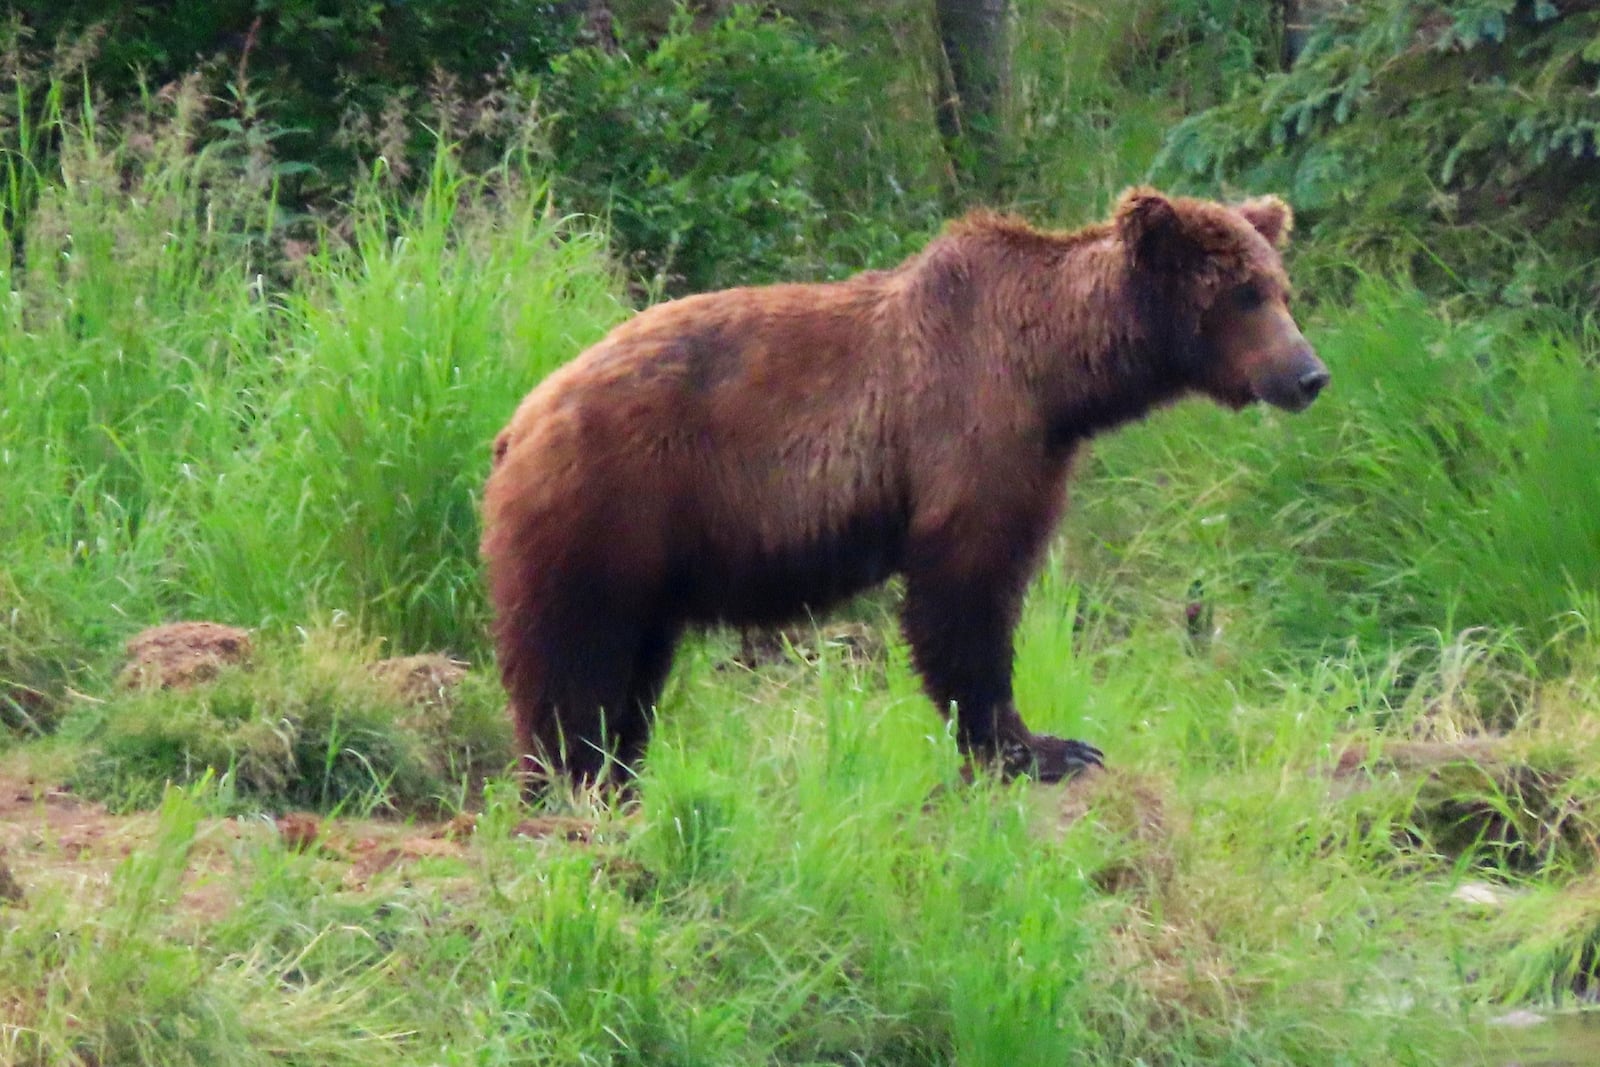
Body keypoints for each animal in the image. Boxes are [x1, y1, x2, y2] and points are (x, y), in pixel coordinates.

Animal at [483, 187, 1324, 790]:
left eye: (1283, 289)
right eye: (1244, 294)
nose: (1310, 374)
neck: (1056, 378)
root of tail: (517, 421)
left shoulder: (1040, 450)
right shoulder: (967, 431)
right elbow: (964, 593)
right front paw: (1038, 746)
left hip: (648, 558)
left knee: (631, 669)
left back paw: (618, 776)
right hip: (605, 507)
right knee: (570, 659)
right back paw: (567, 779)